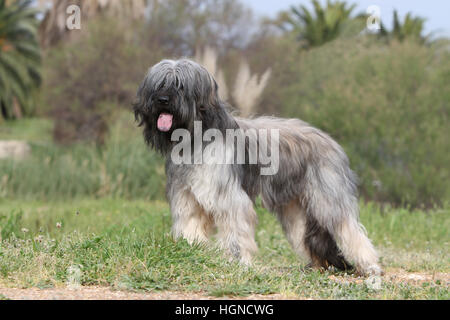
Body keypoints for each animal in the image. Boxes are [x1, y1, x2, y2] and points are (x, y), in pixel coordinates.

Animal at [134, 58, 384, 276]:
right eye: (159, 84)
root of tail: (331, 141)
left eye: (180, 85)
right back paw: (317, 266)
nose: (162, 100)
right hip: (295, 211)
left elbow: (235, 231)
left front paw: (237, 262)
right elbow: (190, 224)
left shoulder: (229, 197)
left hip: (328, 199)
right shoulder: (186, 196)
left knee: (350, 230)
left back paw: (370, 266)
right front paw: (191, 250)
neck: (196, 138)